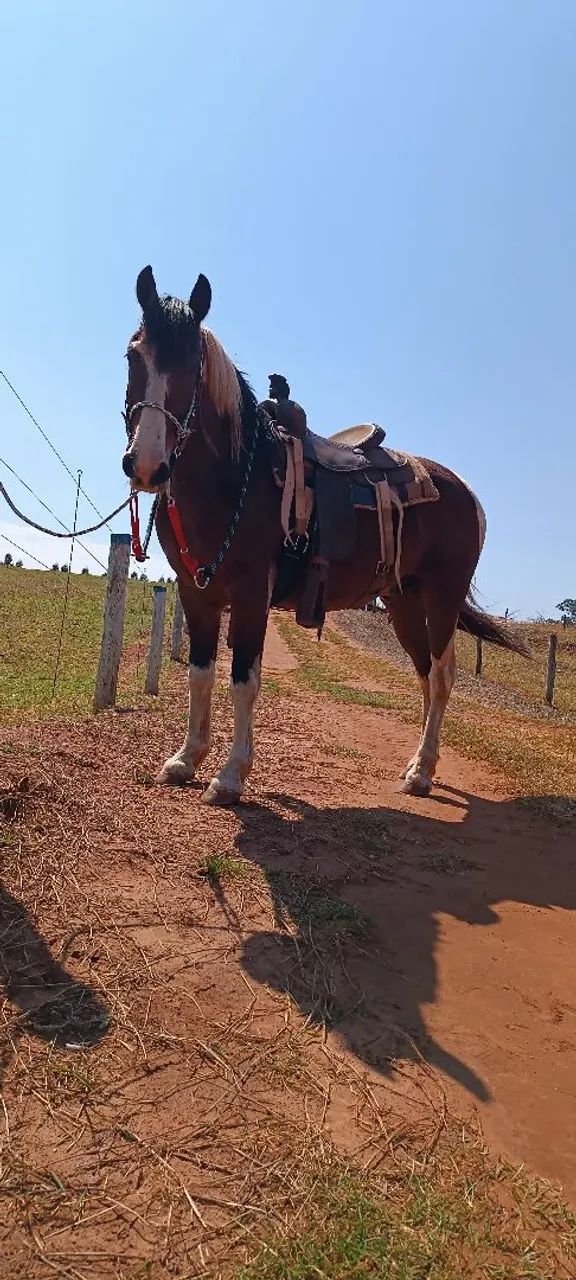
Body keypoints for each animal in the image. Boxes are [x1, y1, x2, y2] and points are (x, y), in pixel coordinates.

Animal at [122, 266, 525, 804]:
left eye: (192, 365)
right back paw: (421, 762)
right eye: (133, 356)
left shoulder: (251, 592)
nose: (147, 466)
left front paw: (230, 776)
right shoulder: (196, 591)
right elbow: (200, 674)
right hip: (403, 601)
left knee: (441, 675)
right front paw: (186, 759)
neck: (233, 475)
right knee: (424, 674)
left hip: (442, 597)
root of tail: (466, 493)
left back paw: (422, 772)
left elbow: (243, 679)